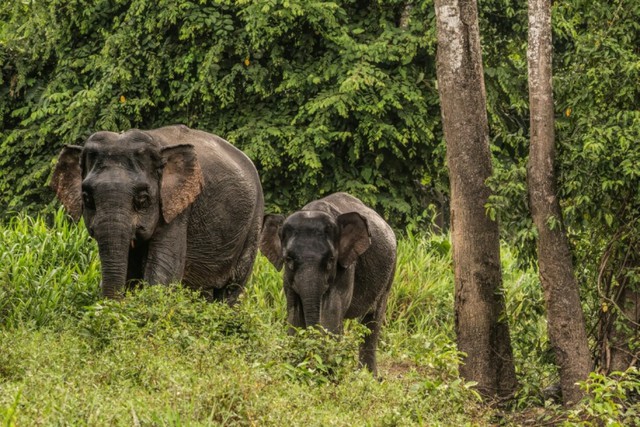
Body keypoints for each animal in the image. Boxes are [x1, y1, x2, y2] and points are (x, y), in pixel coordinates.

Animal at [51, 125, 264, 303]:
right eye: (87, 199)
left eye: (142, 199)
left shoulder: (178, 209)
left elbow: (163, 274)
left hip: (254, 221)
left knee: (232, 288)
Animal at [259, 192, 397, 374]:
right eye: (288, 259)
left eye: (331, 259)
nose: (310, 359)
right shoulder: (287, 277)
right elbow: (294, 310)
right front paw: (297, 368)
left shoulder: (346, 266)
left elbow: (332, 307)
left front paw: (325, 370)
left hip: (390, 271)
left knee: (373, 319)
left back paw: (368, 376)